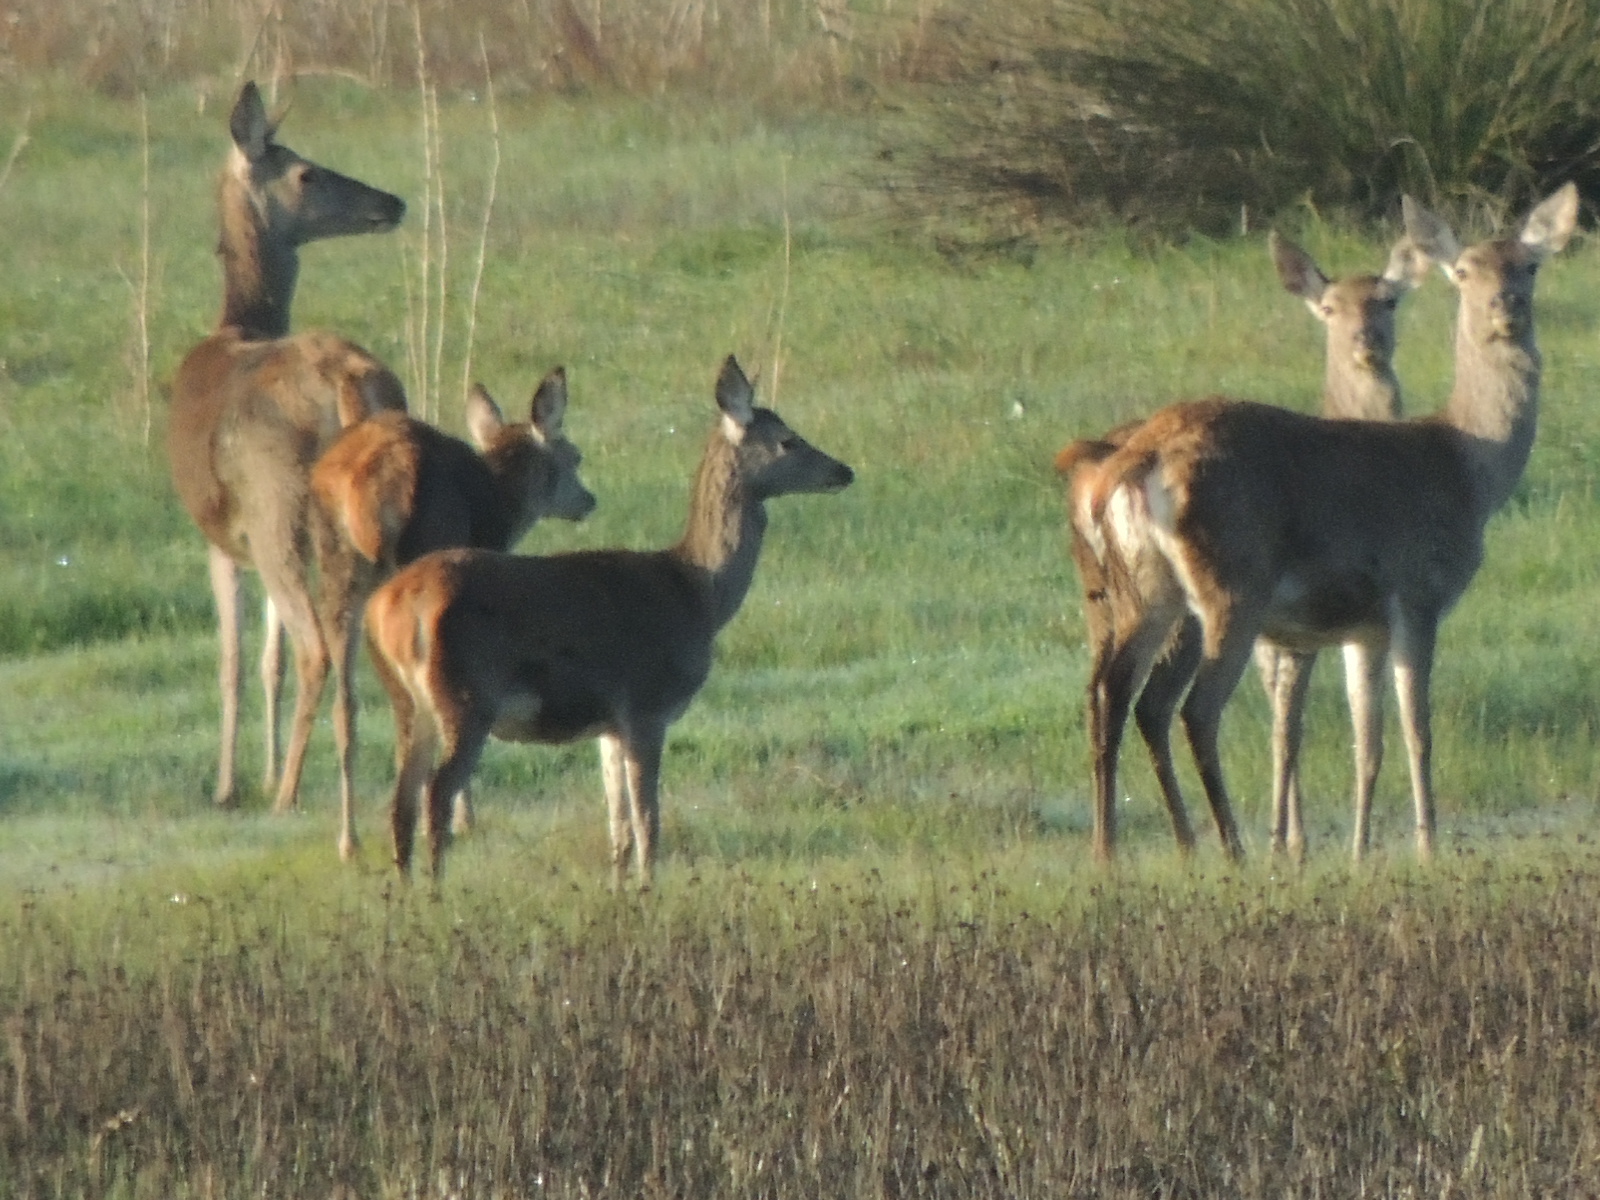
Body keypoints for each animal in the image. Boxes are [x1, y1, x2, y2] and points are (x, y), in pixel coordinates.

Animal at [167, 81, 407, 812]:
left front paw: (230, 784)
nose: (393, 201)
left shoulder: (222, 535)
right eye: (308, 173)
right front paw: (265, 768)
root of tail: (346, 385)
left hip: (278, 505)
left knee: (316, 650)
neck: (237, 325)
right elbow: (266, 659)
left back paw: (290, 794)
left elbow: (234, 661)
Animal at [309, 368, 597, 862]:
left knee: (347, 702)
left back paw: (349, 840)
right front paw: (467, 819)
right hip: (420, 554)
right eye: (574, 456)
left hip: (336, 566)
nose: (589, 500)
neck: (502, 510)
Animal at [363, 355, 854, 883]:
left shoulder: (608, 724)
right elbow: (648, 821)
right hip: (467, 694)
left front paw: (619, 889)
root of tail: (393, 605)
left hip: (409, 700)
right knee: (436, 792)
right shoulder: (646, 705)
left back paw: (406, 888)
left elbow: (618, 825)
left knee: (400, 800)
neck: (698, 592)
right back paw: (437, 890)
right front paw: (647, 888)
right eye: (787, 439)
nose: (843, 470)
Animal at [1074, 182, 1577, 864]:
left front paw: (1362, 852)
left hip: (1148, 589)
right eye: (1465, 271)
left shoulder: (1362, 626)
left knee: (1120, 695)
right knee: (1194, 709)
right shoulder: (1415, 591)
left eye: (1529, 265)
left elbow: (1369, 740)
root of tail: (1138, 458)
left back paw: (1120, 852)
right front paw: (1427, 846)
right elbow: (1418, 729)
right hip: (1233, 580)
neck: (1467, 468)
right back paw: (1232, 849)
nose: (1508, 307)